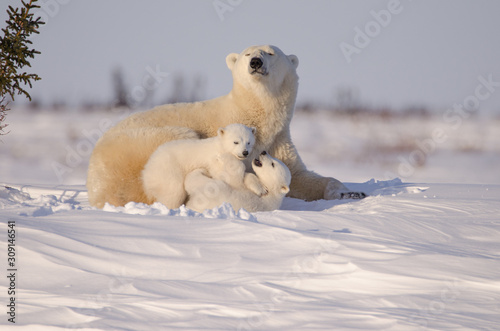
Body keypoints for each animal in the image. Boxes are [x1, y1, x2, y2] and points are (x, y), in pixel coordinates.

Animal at [88, 45, 366, 209]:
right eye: (247, 54)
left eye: (270, 52)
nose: (255, 62)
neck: (252, 114)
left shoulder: (279, 140)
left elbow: (299, 176)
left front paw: (351, 193)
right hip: (142, 146)